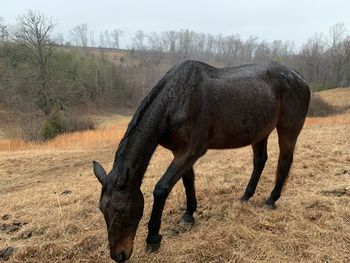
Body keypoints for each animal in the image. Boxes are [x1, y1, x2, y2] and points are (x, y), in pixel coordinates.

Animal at [91, 60, 310, 262]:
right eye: (102, 209)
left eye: (122, 210)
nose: (119, 255)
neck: (177, 100)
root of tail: (299, 76)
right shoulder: (179, 152)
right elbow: (188, 181)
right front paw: (188, 215)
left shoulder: (192, 151)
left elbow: (162, 188)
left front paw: (153, 238)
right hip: (260, 131)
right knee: (260, 161)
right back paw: (245, 197)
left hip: (288, 128)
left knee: (284, 161)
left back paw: (271, 200)